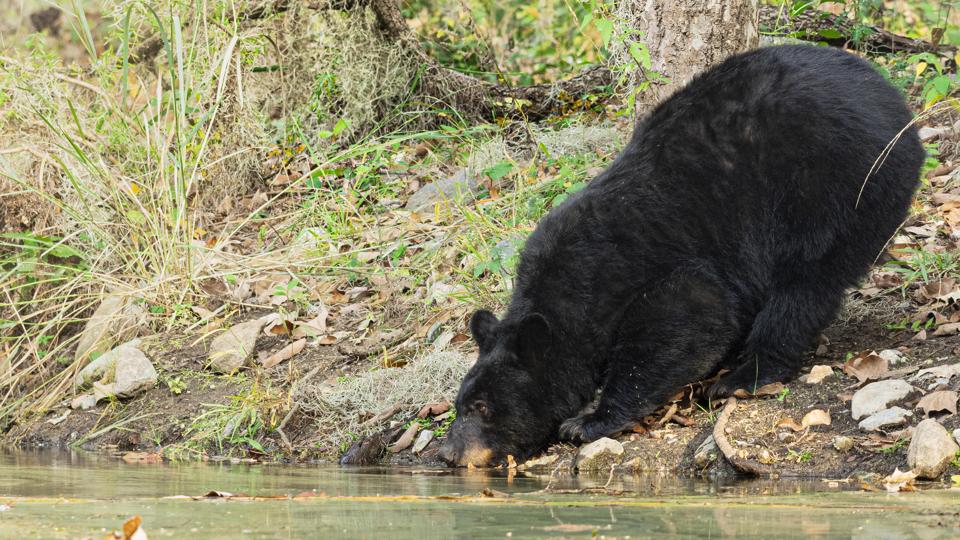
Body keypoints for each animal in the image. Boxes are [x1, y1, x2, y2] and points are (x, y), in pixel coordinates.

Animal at [438, 47, 928, 468]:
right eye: (460, 405)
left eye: (482, 408)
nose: (448, 455)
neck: (570, 296)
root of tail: (893, 102)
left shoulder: (632, 267)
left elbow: (687, 318)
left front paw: (588, 420)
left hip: (829, 184)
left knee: (804, 285)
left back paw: (744, 374)